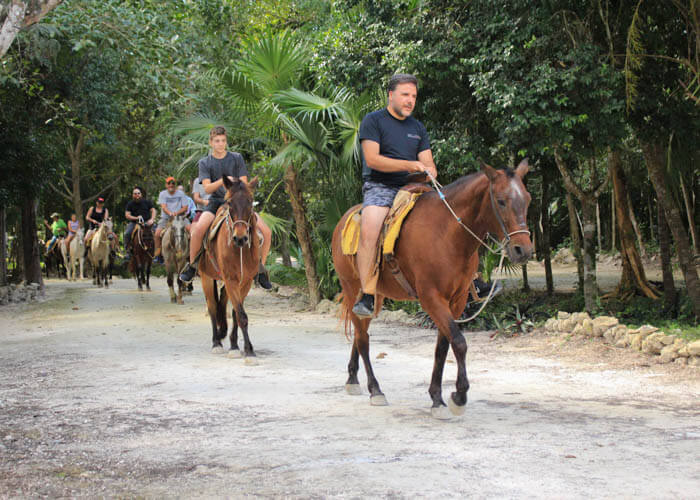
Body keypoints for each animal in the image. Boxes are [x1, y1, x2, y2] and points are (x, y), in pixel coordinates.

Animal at [198, 176, 262, 364]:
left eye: (250, 202)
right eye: (229, 203)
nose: (240, 238)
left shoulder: (245, 281)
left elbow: (236, 314)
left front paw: (236, 346)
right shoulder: (231, 280)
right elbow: (241, 315)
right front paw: (248, 351)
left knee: (222, 304)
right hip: (206, 277)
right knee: (212, 308)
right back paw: (216, 343)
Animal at [330, 159, 532, 418]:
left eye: (527, 199)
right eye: (501, 201)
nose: (523, 250)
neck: (447, 234)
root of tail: (343, 220)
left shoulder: (456, 302)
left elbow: (443, 347)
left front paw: (437, 398)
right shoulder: (431, 298)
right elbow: (459, 342)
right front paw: (458, 396)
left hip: (377, 296)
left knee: (359, 334)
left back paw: (352, 378)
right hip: (351, 287)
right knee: (363, 339)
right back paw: (375, 390)